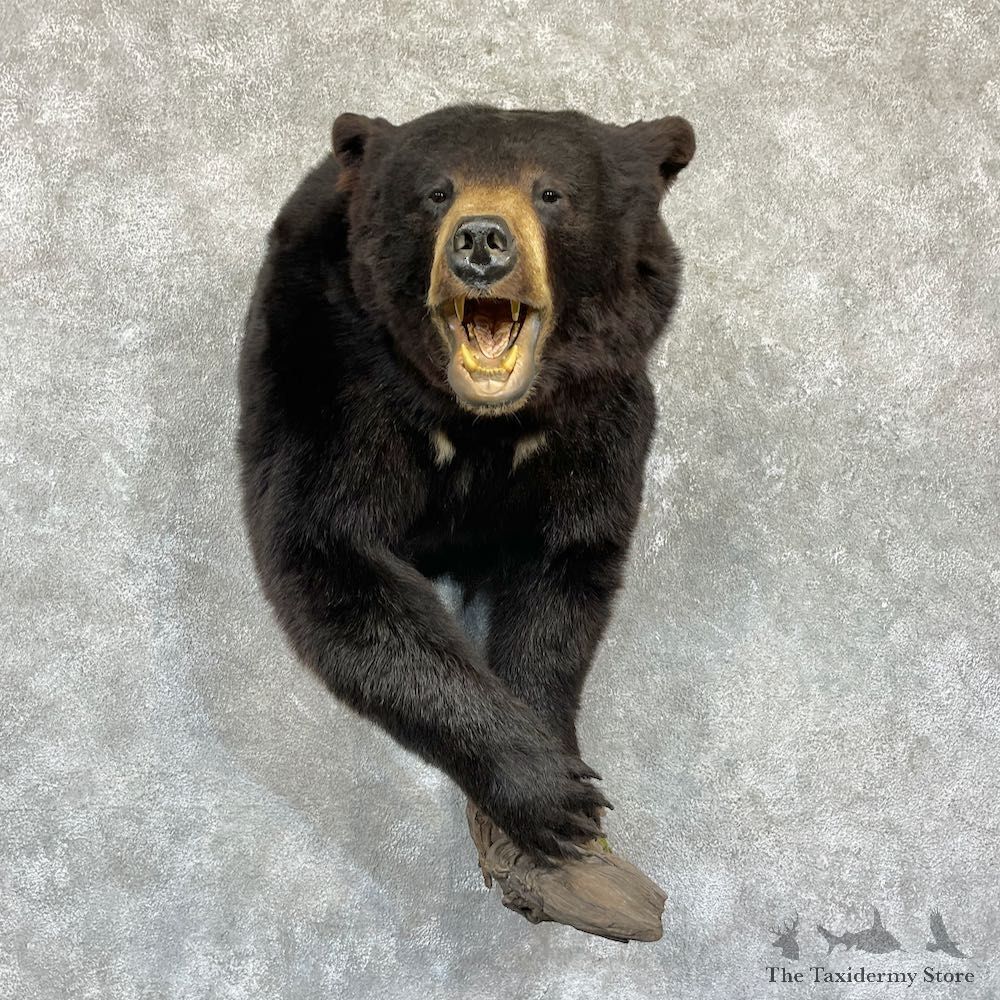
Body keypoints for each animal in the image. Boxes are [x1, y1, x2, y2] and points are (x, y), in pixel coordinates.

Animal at [237, 104, 695, 861]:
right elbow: (332, 550)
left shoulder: (599, 415)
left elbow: (566, 563)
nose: (482, 241)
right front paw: (549, 793)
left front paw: (561, 770)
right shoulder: (342, 388)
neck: (485, 422)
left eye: (551, 192)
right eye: (436, 193)